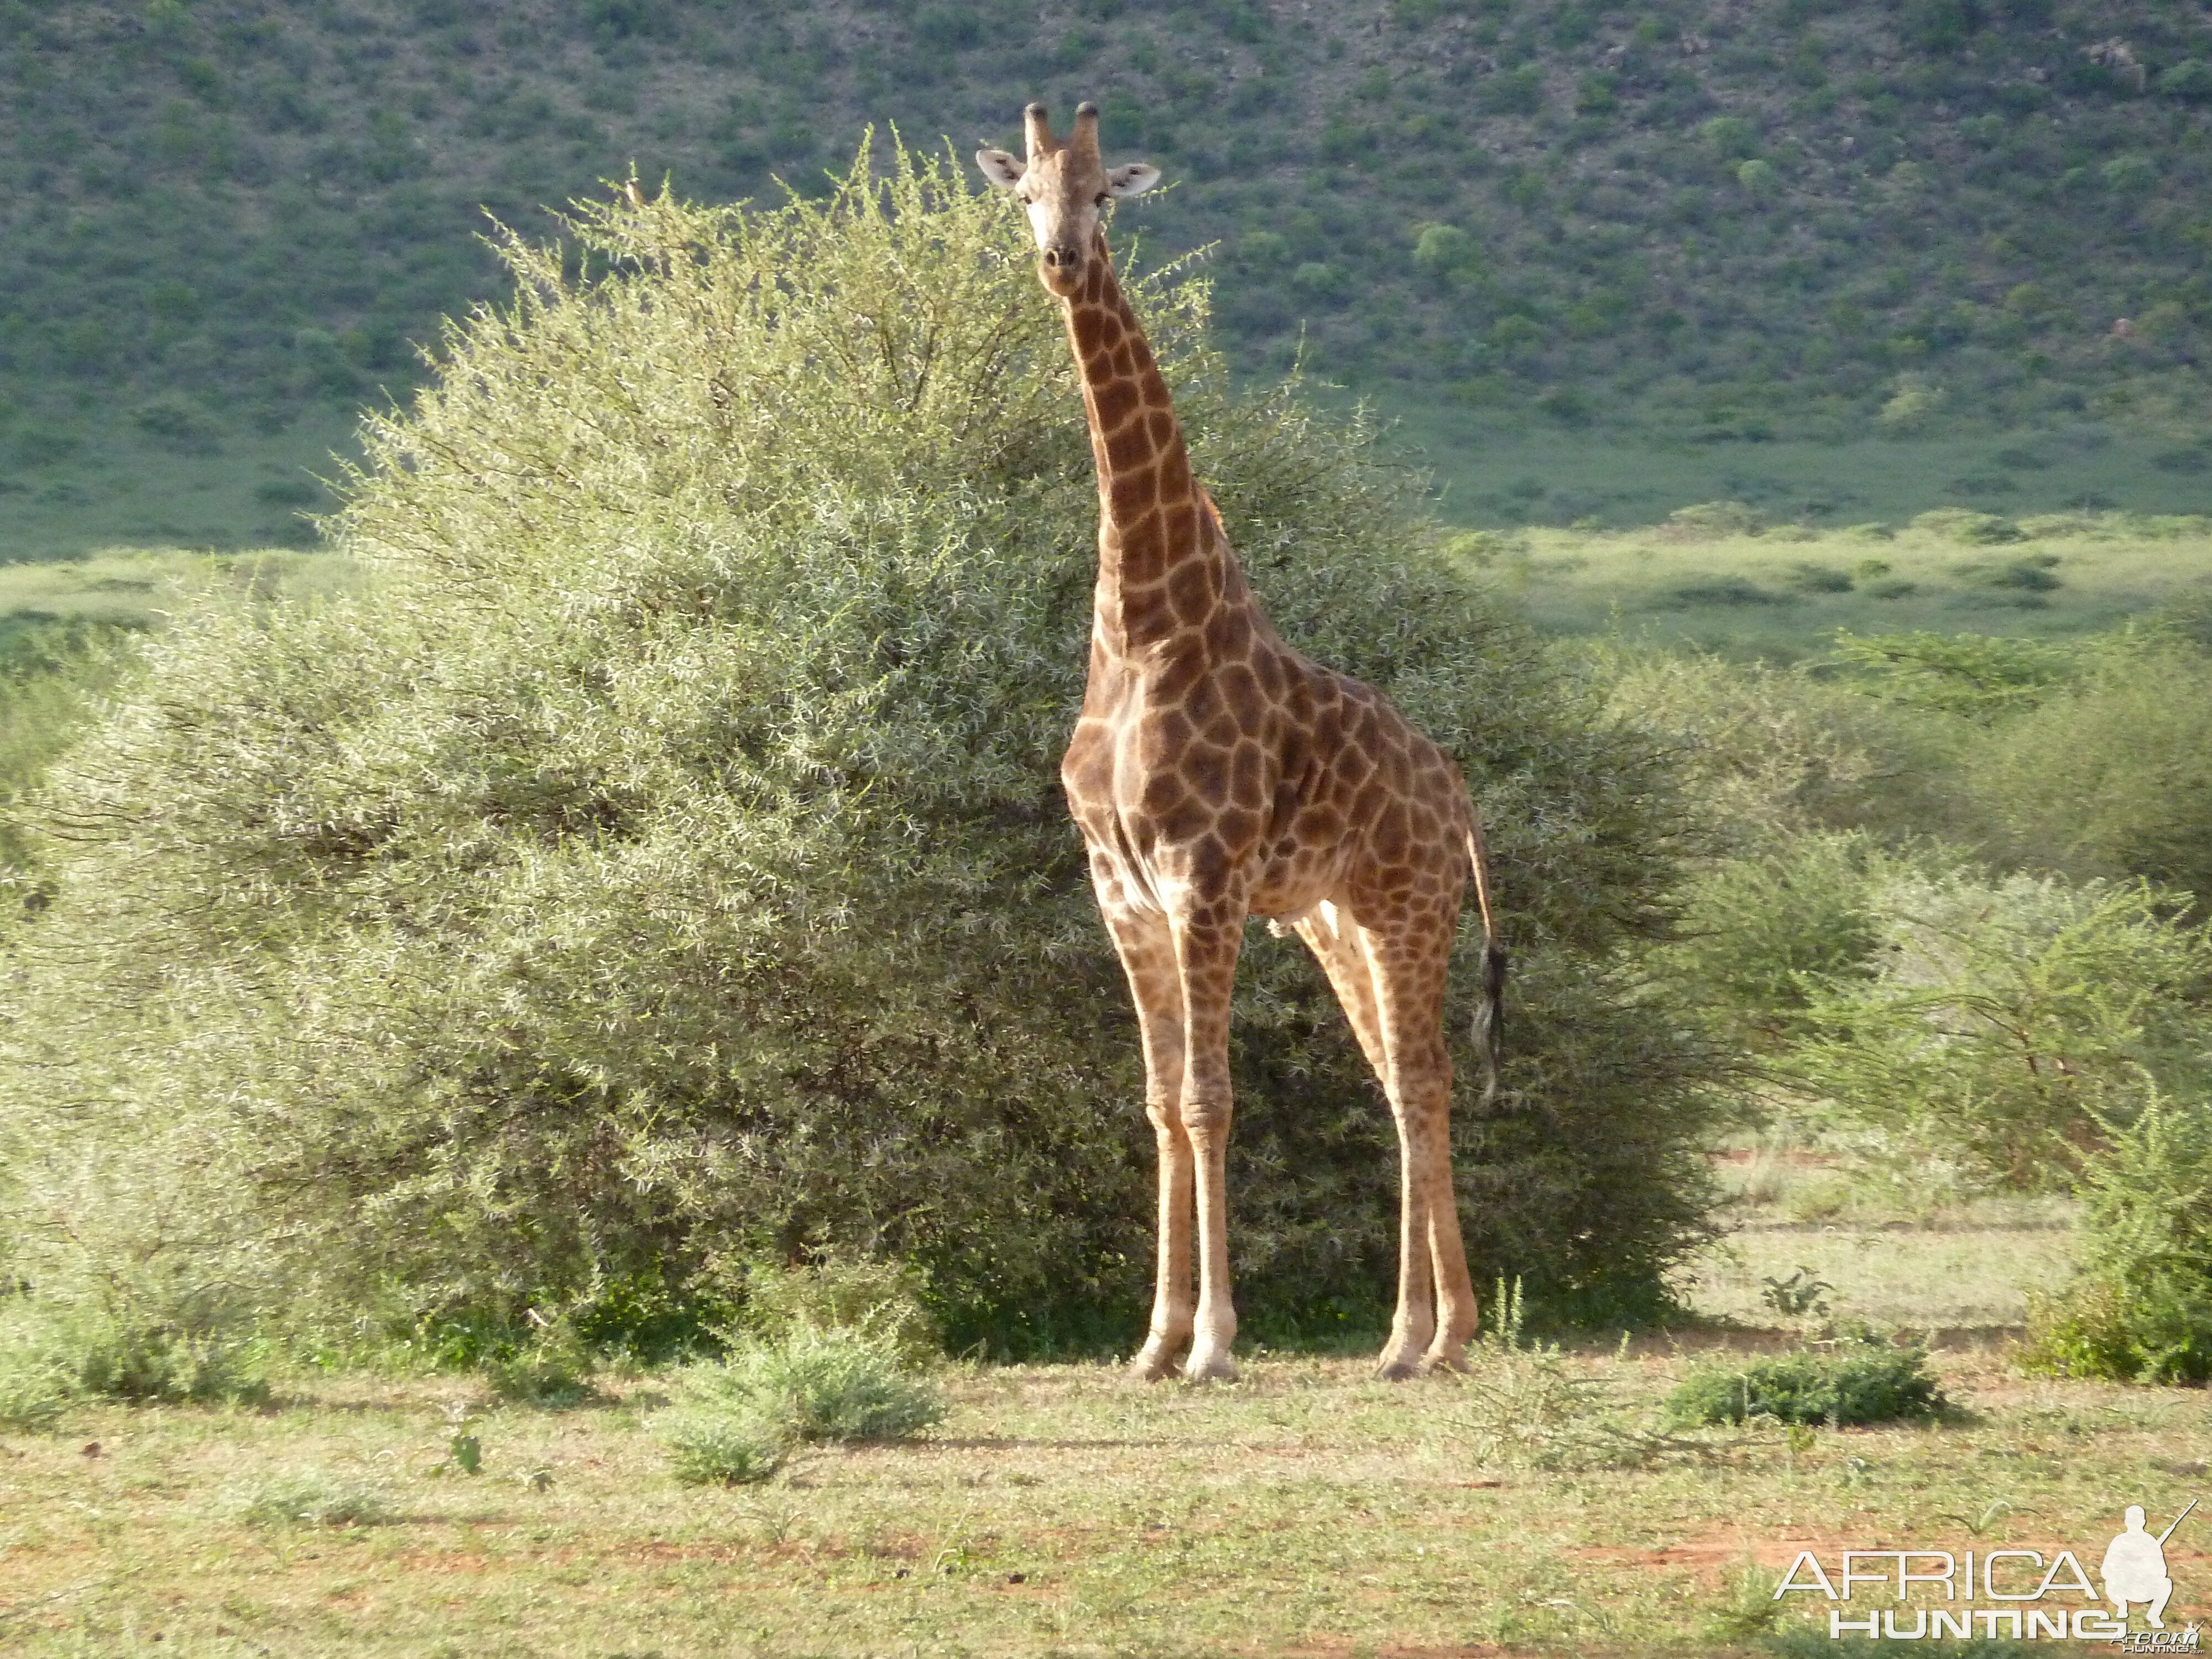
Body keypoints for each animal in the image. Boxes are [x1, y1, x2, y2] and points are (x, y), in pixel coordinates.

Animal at [982, 97, 1513, 1380]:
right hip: (1334, 920)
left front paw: (1216, 1343)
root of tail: (1460, 797)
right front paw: (1152, 1342)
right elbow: (1159, 1099)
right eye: (1022, 192)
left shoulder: (1203, 873)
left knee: (1420, 1081)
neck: (1142, 622)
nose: (1060, 259)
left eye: (1105, 196)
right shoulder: (1118, 886)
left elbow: (1213, 1098)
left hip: (1408, 904)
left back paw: (1423, 1339)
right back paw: (1429, 1333)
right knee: (1399, 1083)